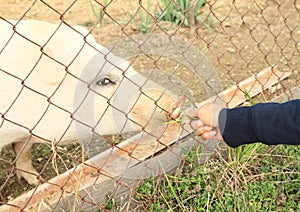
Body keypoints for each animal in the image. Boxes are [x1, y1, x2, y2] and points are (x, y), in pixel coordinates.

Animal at [0, 20, 178, 186]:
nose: (175, 104)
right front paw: (38, 183)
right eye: (104, 81)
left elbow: (24, 151)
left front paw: (37, 181)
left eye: (128, 66)